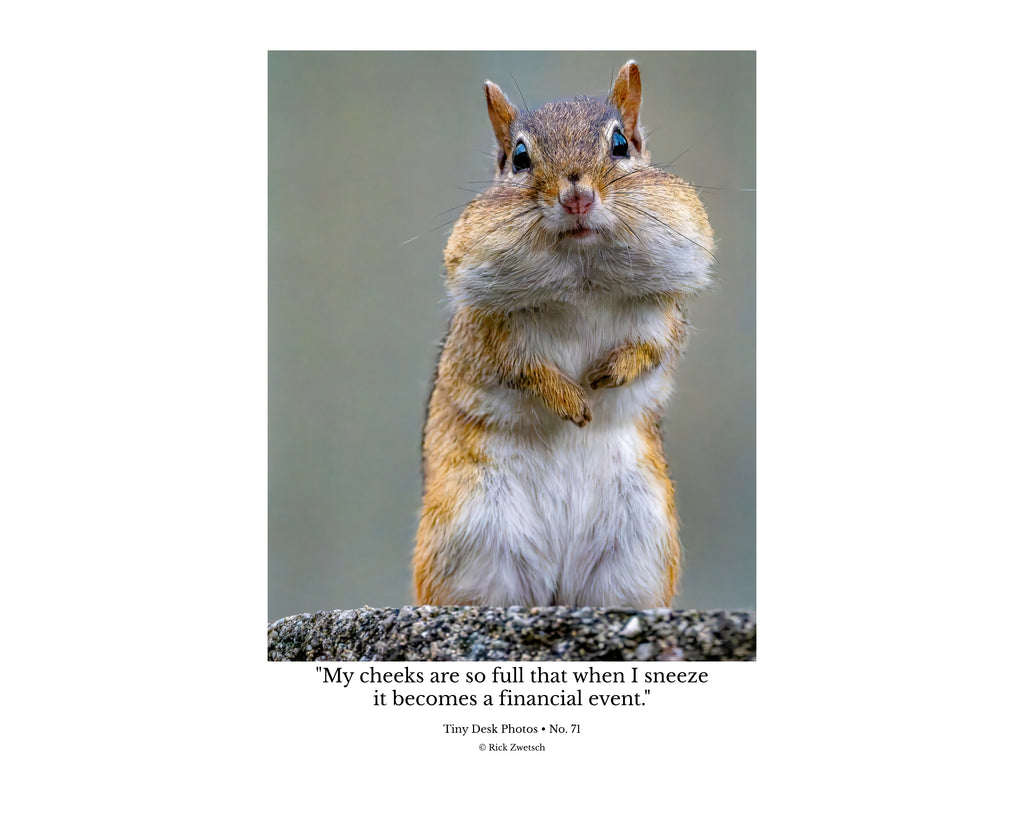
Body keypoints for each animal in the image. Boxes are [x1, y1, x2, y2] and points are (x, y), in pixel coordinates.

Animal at [413, 61, 714, 608]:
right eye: (519, 157)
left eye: (620, 144)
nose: (577, 197)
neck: (582, 277)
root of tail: (556, 590)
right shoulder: (490, 335)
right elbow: (523, 370)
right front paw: (572, 401)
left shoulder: (661, 316)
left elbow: (651, 349)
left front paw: (608, 375)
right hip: (469, 542)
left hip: (638, 549)